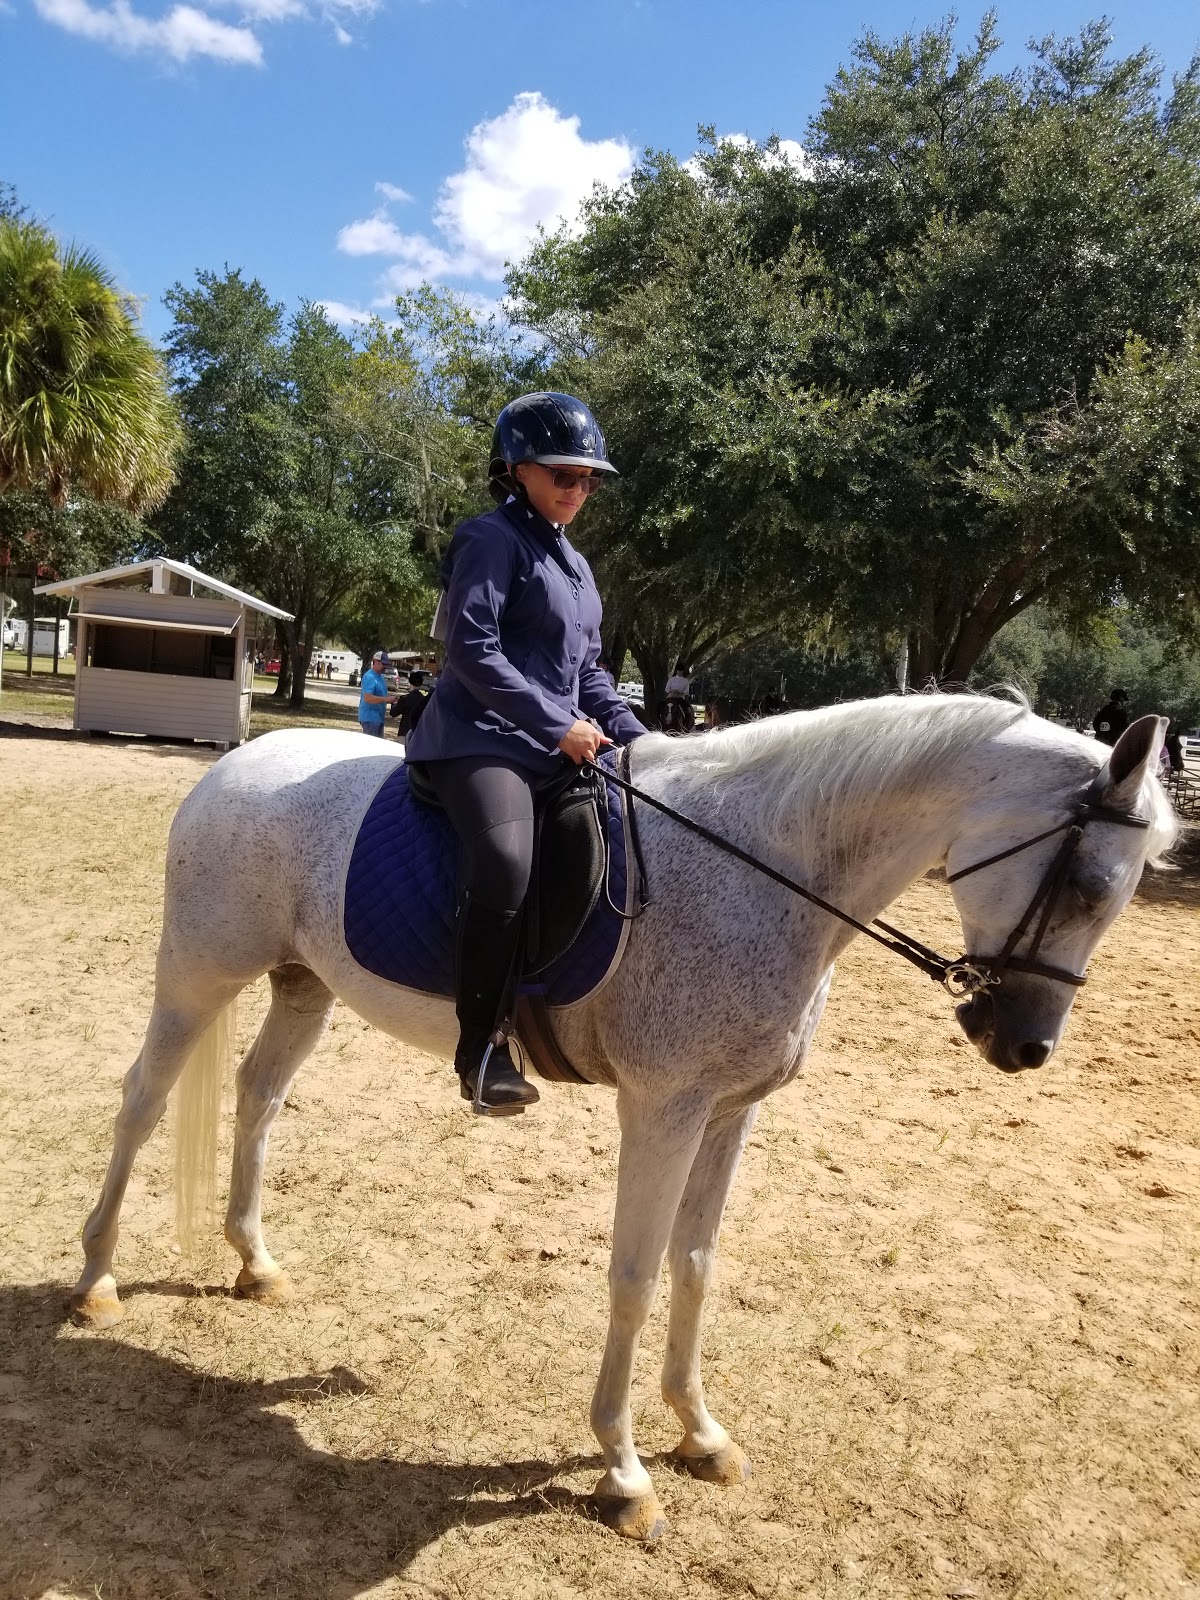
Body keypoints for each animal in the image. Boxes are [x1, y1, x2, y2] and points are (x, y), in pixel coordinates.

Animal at [69, 695, 1176, 1543]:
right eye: (1084, 883)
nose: (1026, 1047)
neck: (763, 868)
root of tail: (240, 762)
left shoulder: (728, 1115)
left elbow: (697, 1266)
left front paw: (702, 1433)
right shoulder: (666, 1109)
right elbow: (636, 1278)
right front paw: (625, 1467)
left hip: (303, 985)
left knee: (259, 1097)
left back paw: (254, 1261)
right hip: (199, 974)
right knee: (142, 1101)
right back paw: (97, 1281)